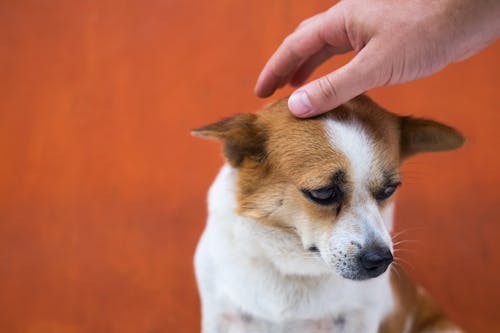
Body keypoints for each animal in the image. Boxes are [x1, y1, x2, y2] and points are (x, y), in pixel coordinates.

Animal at [192, 95, 464, 332]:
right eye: (322, 193)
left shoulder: (360, 318)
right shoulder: (220, 315)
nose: (380, 260)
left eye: (389, 190)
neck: (294, 267)